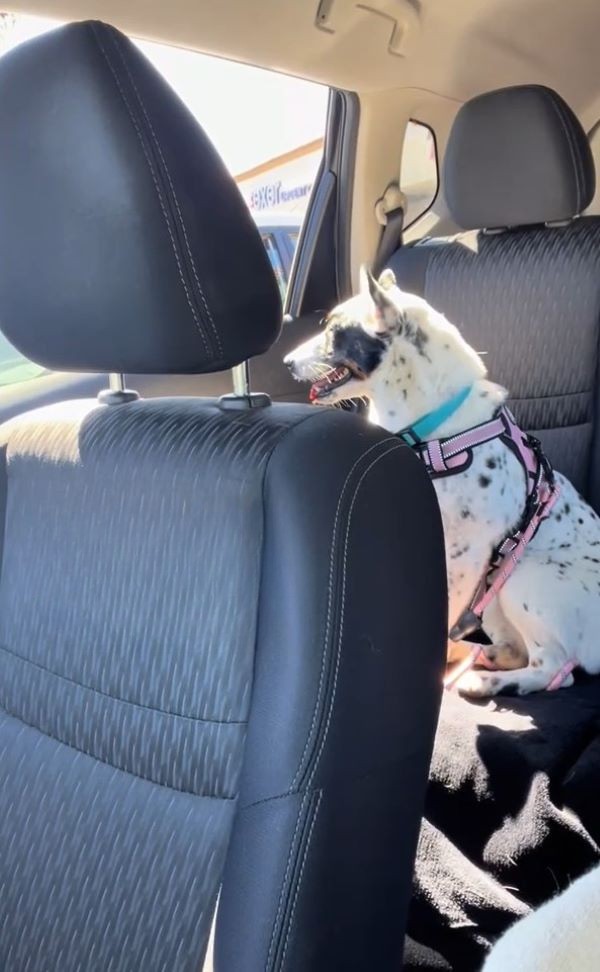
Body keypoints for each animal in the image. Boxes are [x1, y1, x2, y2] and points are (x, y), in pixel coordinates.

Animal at [284, 270, 600, 696]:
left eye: (335, 330)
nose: (286, 361)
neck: (435, 428)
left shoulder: (464, 554)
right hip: (495, 593)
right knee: (515, 649)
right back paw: (478, 656)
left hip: (522, 575)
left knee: (552, 669)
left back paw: (485, 681)